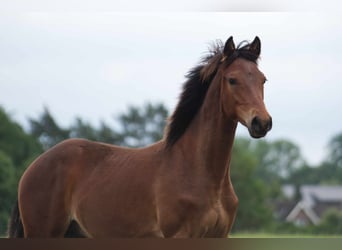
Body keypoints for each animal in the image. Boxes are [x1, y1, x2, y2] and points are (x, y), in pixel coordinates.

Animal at [7, 35, 272, 238]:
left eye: (263, 79)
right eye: (232, 80)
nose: (262, 122)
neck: (196, 170)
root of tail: (32, 168)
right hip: (43, 233)